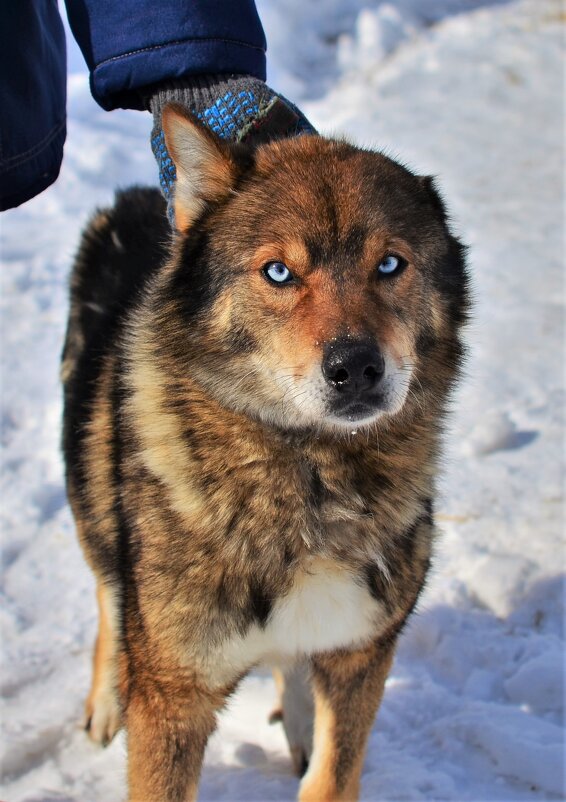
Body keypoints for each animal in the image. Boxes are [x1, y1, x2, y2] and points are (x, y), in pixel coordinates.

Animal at [61, 101, 470, 800]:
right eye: (279, 272)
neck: (310, 475)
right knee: (109, 594)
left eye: (390, 265)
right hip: (92, 501)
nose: (356, 368)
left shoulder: (362, 656)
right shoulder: (174, 700)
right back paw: (106, 699)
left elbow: (333, 775)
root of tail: (139, 199)